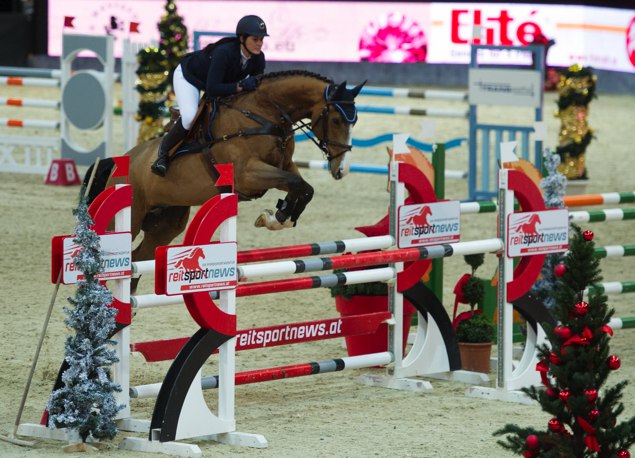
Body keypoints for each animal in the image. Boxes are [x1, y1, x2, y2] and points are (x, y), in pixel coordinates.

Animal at [88, 70, 368, 290]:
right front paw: (277, 216)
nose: (341, 169)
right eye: (336, 119)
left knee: (140, 257)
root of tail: (119, 162)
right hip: (131, 217)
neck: (263, 114)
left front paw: (278, 217)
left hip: (166, 223)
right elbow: (298, 185)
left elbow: (304, 188)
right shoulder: (249, 174)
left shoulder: (283, 167)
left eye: (354, 120)